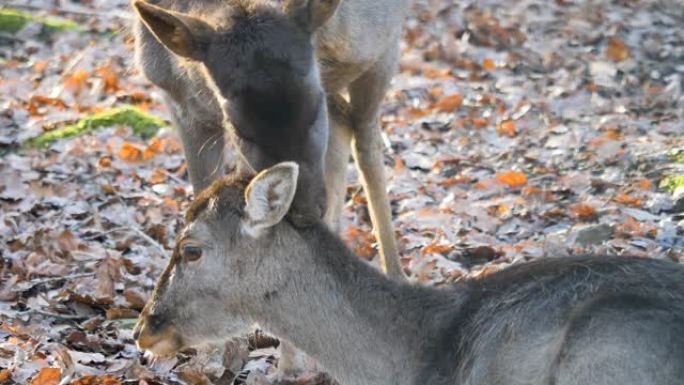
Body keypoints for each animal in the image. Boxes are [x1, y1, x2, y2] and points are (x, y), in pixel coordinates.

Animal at [134, 0, 412, 278]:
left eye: (314, 106)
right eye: (238, 127)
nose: (306, 213)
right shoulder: (178, 99)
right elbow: (208, 193)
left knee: (366, 139)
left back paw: (395, 273)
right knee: (344, 124)